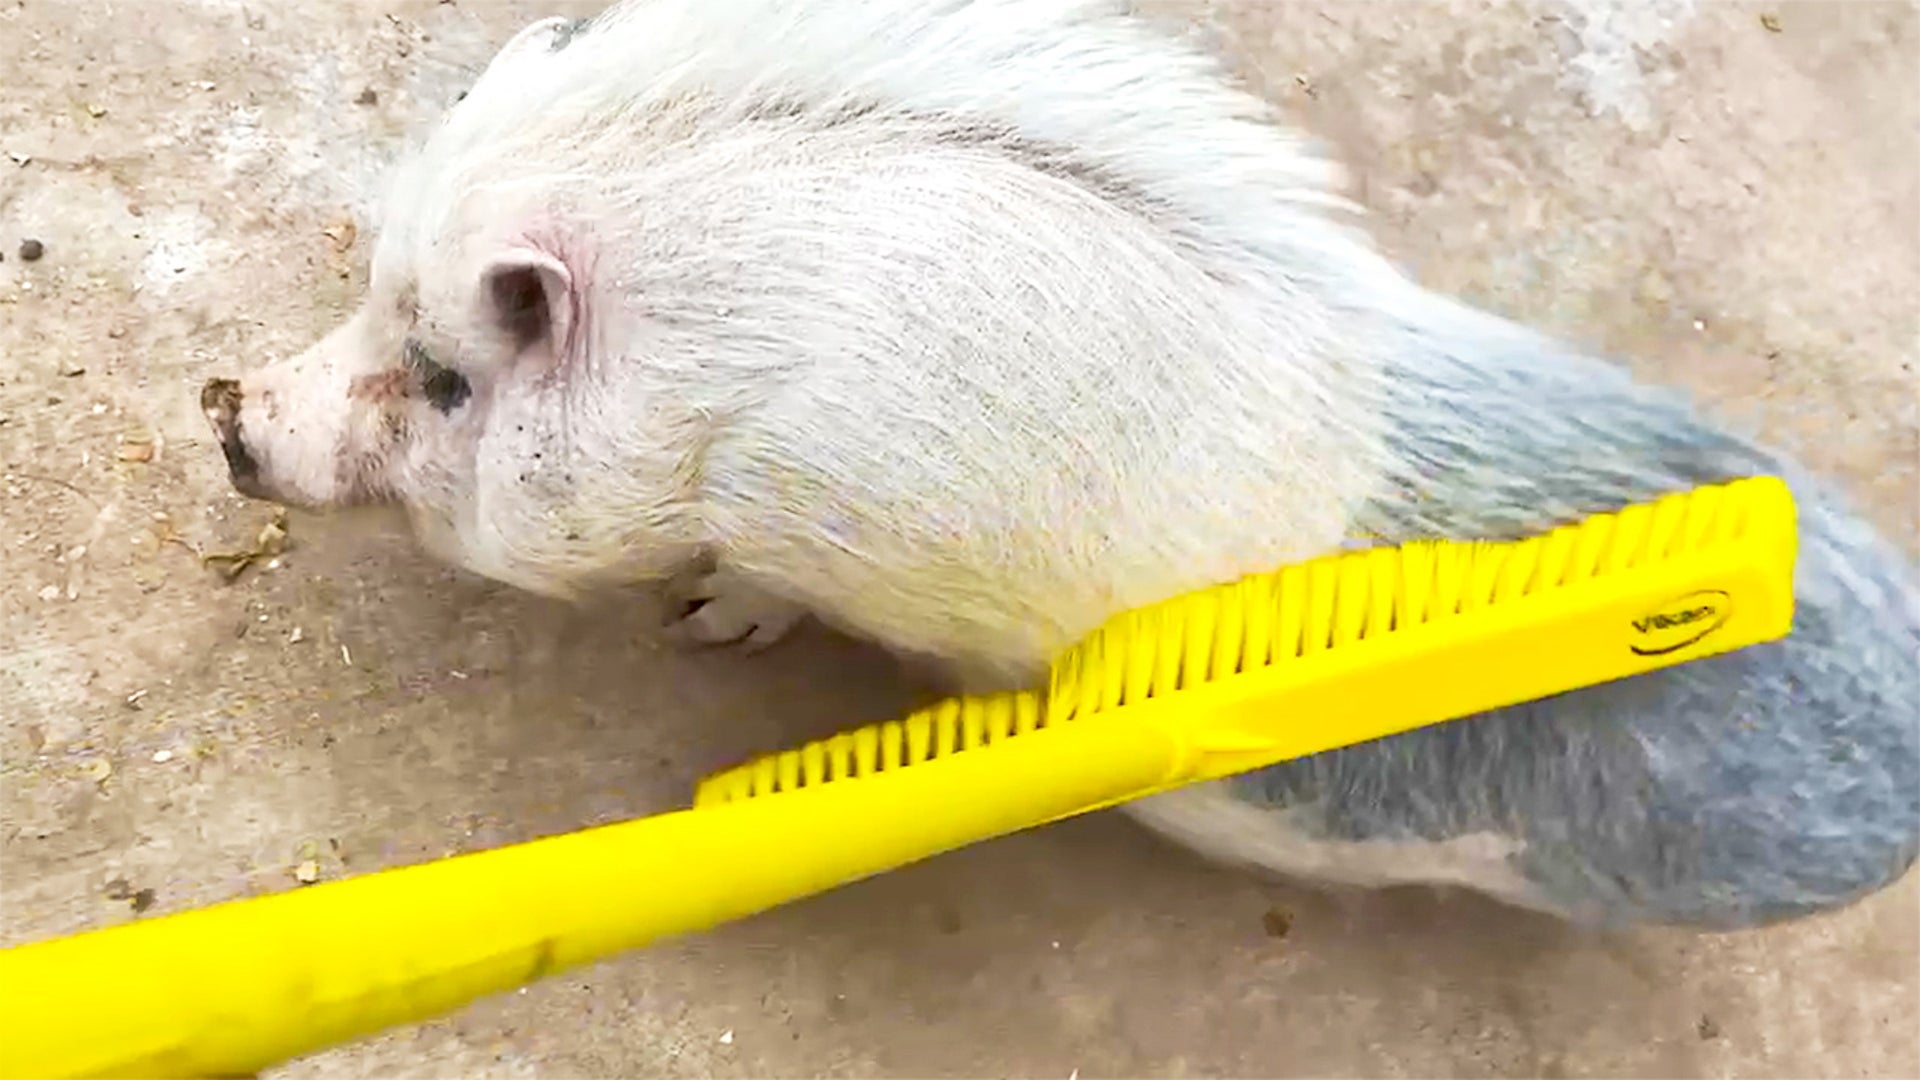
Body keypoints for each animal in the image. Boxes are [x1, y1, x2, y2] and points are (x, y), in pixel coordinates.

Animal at [201, 0, 1919, 930]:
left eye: (447, 381)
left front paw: (704, 626)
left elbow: (751, 592)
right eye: (369, 291)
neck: (725, 384)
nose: (232, 417)